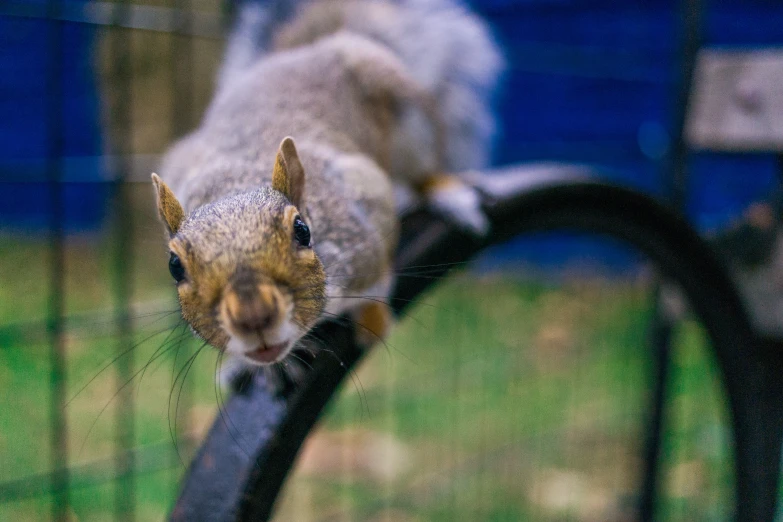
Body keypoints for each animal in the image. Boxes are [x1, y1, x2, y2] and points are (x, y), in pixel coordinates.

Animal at [152, 0, 502, 364]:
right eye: (174, 266)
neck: (236, 182)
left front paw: (372, 319)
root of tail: (312, 48)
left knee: (424, 168)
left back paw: (448, 193)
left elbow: (378, 277)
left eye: (303, 231)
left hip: (413, 122)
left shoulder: (365, 199)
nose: (252, 315)